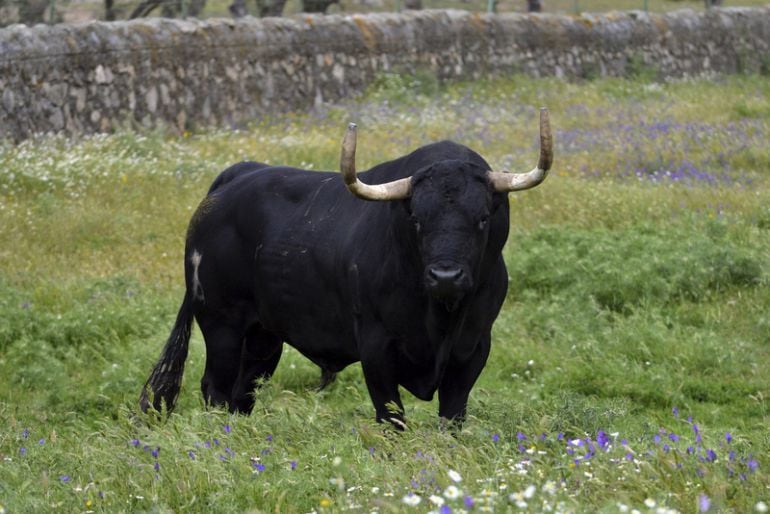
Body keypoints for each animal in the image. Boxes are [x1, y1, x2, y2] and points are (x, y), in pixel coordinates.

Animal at [136, 108, 544, 424]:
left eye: (482, 218)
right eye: (416, 219)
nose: (446, 276)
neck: (439, 318)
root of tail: (236, 177)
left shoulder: (473, 348)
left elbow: (452, 416)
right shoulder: (376, 348)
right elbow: (391, 416)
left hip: (263, 336)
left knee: (243, 392)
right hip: (222, 324)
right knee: (216, 390)